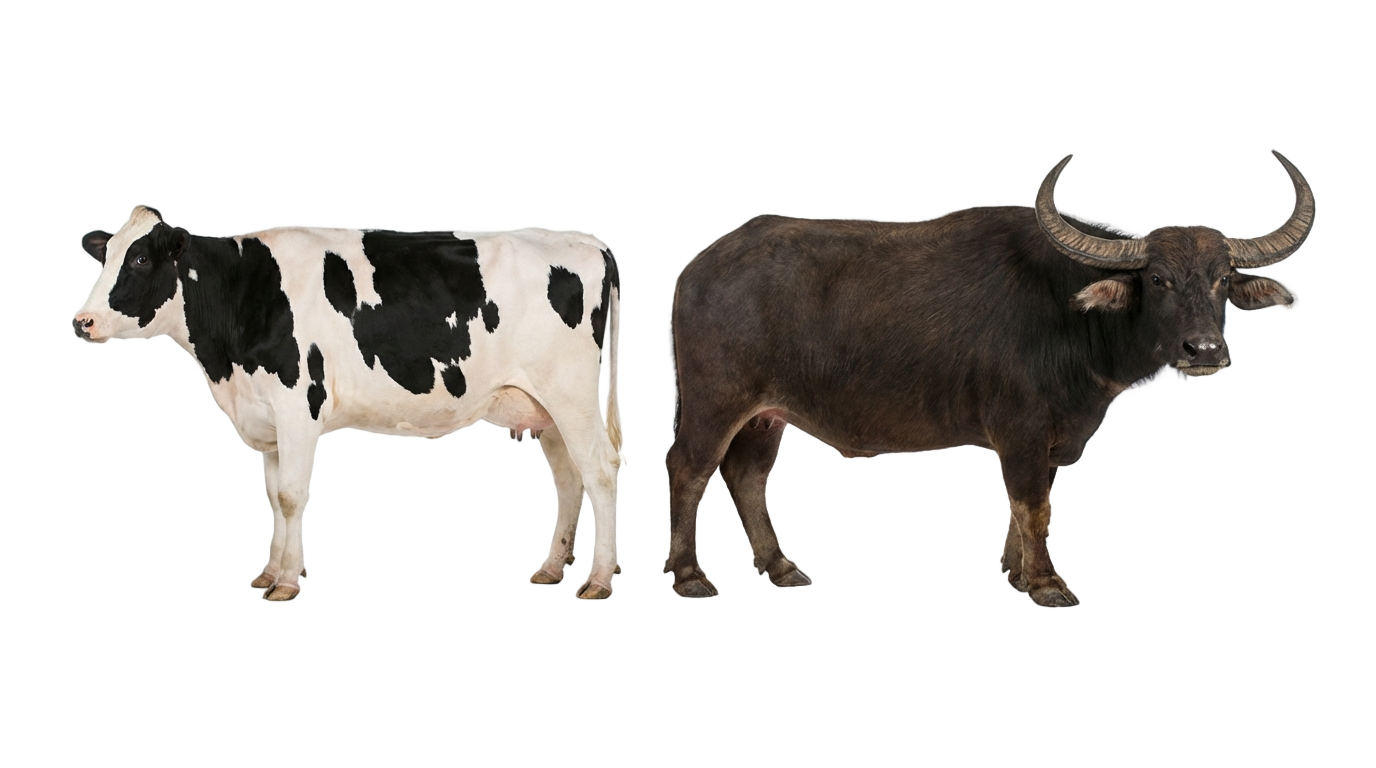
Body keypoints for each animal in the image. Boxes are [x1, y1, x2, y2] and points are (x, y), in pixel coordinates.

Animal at [71, 208, 622, 600]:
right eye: (107, 256)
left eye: (141, 259)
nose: (82, 321)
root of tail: (590, 244)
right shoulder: (266, 416)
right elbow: (271, 496)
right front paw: (268, 572)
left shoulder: (298, 407)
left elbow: (292, 496)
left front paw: (287, 583)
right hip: (543, 406)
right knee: (569, 478)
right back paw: (551, 568)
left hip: (574, 398)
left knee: (599, 474)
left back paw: (598, 579)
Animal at [665, 151, 1312, 607]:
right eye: (1157, 279)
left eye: (1221, 278)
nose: (1204, 349)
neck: (1069, 314)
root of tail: (696, 270)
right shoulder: (1020, 430)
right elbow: (1032, 503)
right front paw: (1047, 584)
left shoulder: (1050, 438)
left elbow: (1034, 501)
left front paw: (1014, 573)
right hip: (713, 401)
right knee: (690, 469)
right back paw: (688, 579)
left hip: (763, 414)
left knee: (746, 474)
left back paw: (781, 569)